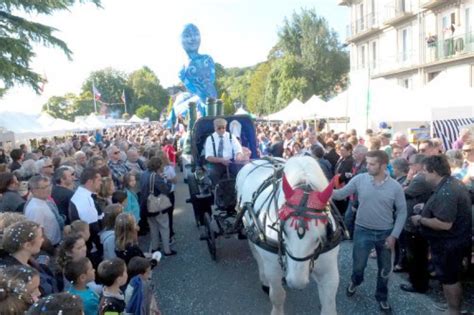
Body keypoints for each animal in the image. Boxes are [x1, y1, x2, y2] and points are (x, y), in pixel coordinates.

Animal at [237, 157, 340, 314]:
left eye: (320, 237)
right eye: (283, 231)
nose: (296, 283)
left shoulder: (329, 272)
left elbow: (329, 305)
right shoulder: (273, 268)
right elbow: (278, 296)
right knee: (257, 255)